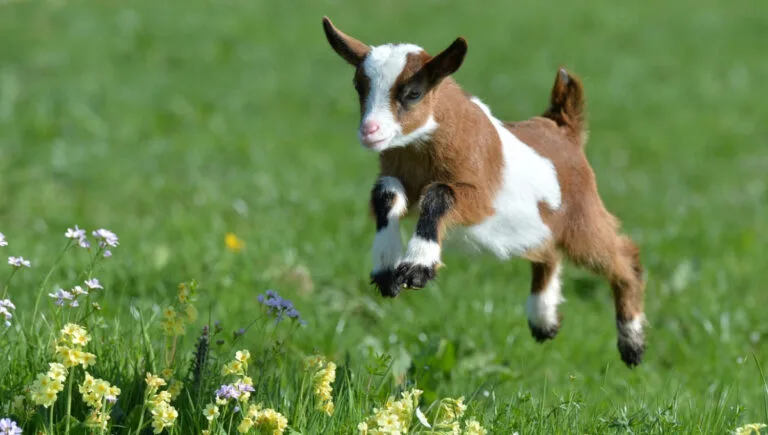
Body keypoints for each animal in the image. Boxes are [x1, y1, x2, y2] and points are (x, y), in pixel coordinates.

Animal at [321, 17, 647, 367]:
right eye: (359, 87)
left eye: (413, 93)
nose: (369, 131)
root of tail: (563, 127)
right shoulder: (397, 175)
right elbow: (386, 193)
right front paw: (386, 268)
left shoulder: (480, 198)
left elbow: (439, 194)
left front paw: (419, 267)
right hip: (540, 225)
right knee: (548, 253)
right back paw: (543, 320)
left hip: (581, 217)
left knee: (623, 256)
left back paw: (632, 342)